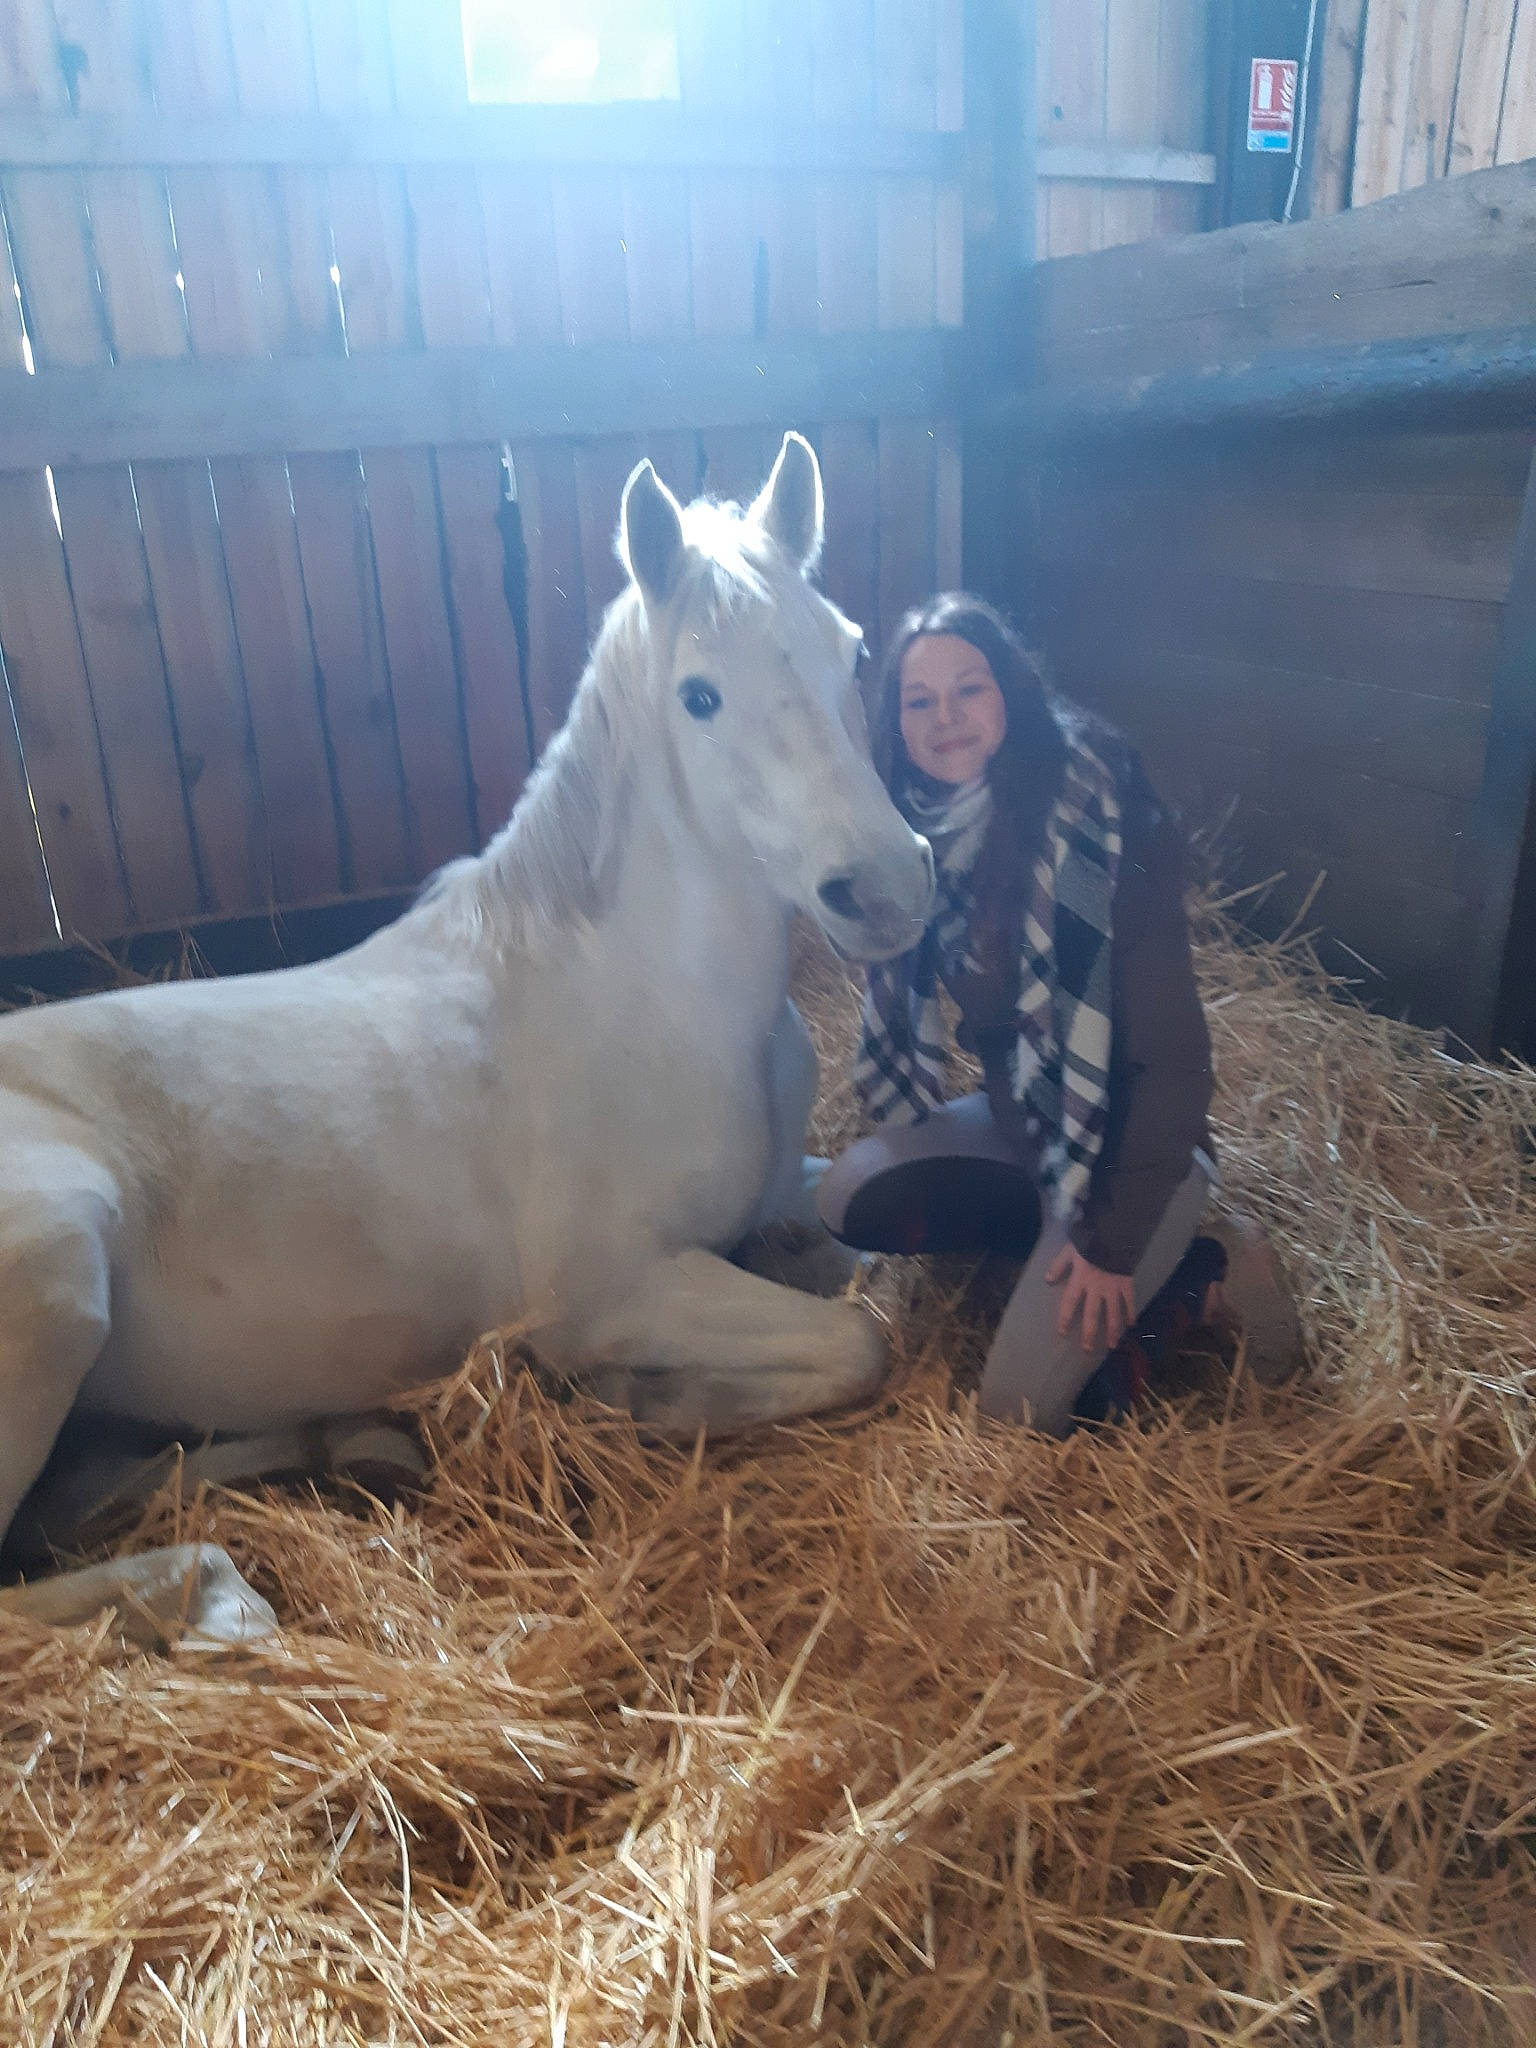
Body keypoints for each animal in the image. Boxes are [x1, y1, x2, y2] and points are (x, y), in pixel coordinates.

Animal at [0, 432, 935, 1634]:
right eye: (700, 695)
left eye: (850, 649)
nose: (885, 886)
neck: (639, 1000)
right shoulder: (613, 1291)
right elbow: (861, 1338)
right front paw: (641, 1394)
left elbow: (867, 1244)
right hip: (59, 1267)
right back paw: (207, 1583)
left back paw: (359, 1446)